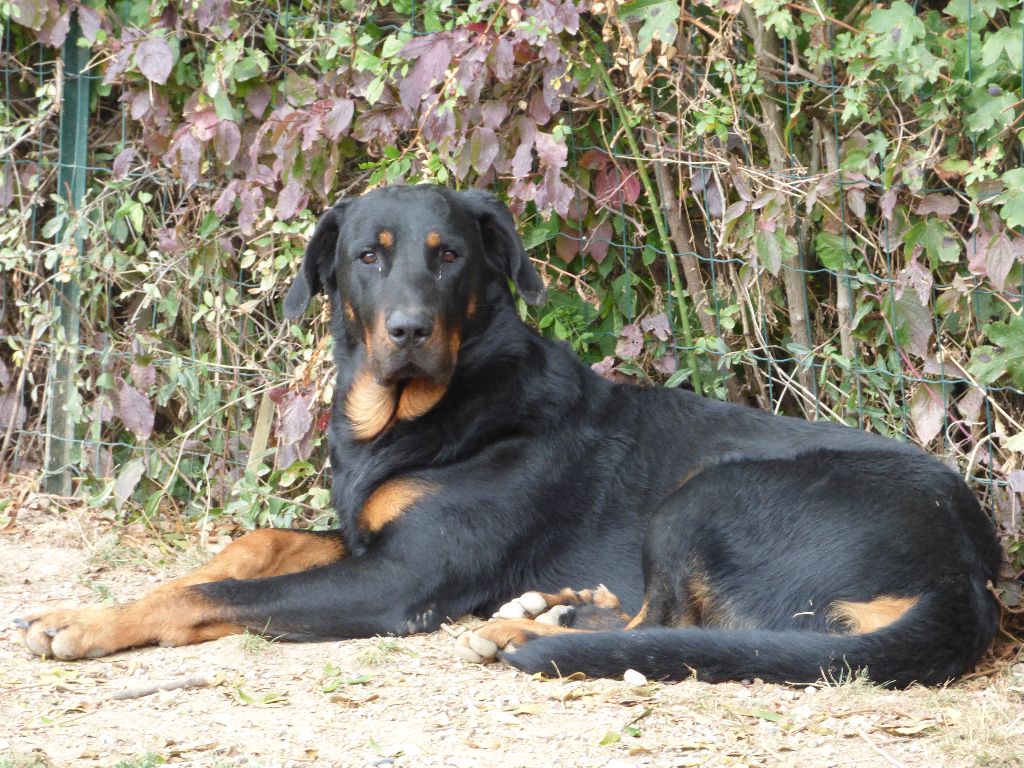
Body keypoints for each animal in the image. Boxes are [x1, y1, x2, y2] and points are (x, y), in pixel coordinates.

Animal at [18, 188, 999, 692]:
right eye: (368, 257)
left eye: (450, 255)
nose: (410, 330)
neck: (418, 415)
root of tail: (968, 574)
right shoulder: (370, 537)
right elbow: (250, 543)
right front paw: (86, 607)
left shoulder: (397, 580)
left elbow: (218, 592)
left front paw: (95, 626)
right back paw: (542, 611)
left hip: (713, 490)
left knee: (668, 622)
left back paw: (530, 628)